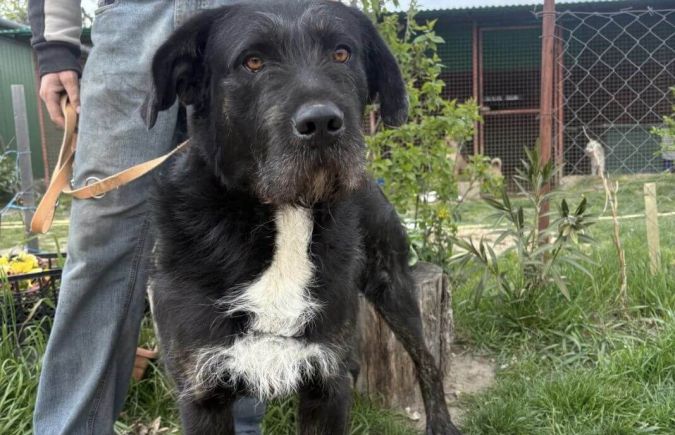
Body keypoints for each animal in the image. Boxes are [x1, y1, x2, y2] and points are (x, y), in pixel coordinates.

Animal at [142, 1, 460, 434]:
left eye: (342, 53)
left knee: (426, 360)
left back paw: (441, 422)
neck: (287, 214)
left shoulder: (325, 379)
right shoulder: (202, 393)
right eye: (253, 61)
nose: (323, 123)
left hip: (393, 282)